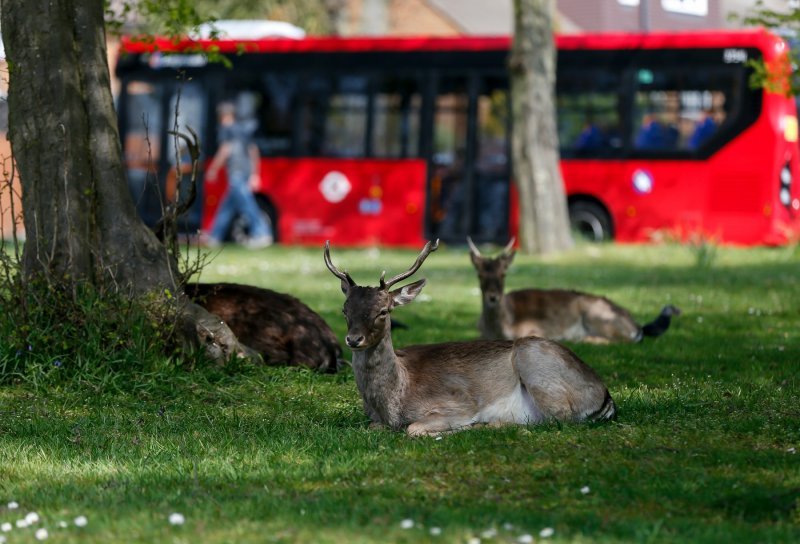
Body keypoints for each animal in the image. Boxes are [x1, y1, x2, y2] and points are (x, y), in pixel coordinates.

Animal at [322, 240, 616, 436]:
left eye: (383, 311)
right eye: (345, 310)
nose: (353, 339)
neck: (392, 405)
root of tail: (605, 395)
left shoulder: (458, 403)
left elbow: (414, 428)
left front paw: (461, 427)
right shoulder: (374, 420)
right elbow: (372, 427)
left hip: (536, 364)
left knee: (557, 418)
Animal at [468, 238, 680, 344]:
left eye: (503, 273)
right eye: (479, 274)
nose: (493, 297)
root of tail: (637, 325)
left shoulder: (535, 329)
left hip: (598, 316)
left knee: (623, 340)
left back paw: (578, 338)